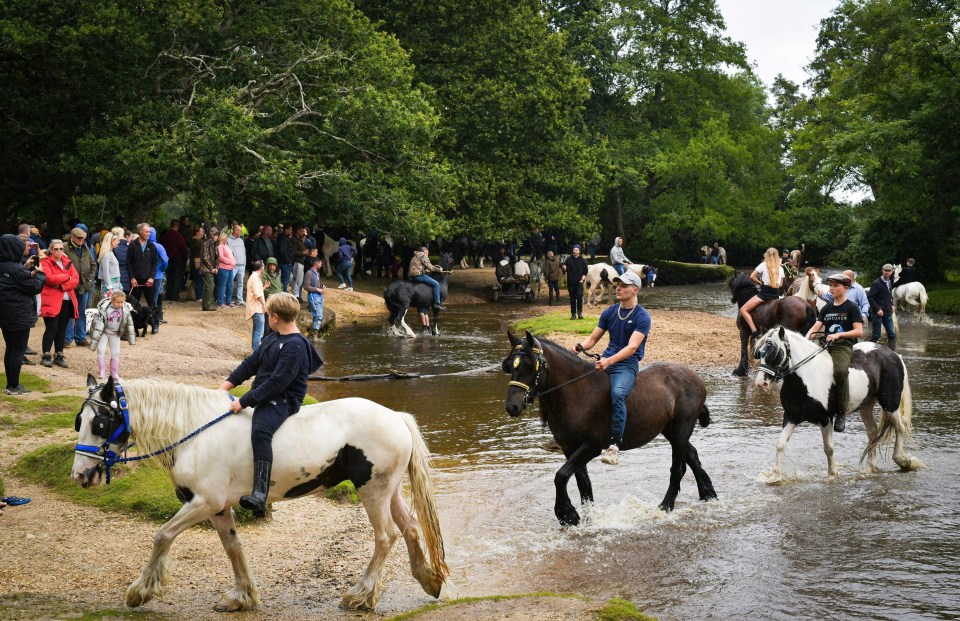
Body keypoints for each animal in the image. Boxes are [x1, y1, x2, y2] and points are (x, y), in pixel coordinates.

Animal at [71, 376, 454, 612]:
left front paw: (141, 591)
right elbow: (233, 547)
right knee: (410, 529)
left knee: (386, 536)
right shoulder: (217, 508)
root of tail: (395, 416)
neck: (195, 433)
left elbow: (162, 536)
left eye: (100, 423)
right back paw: (429, 580)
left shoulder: (203, 502)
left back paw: (360, 596)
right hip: (388, 490)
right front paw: (242, 596)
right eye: (79, 421)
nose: (79, 475)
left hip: (373, 490)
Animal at [502, 332, 712, 524]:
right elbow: (582, 483)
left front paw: (566, 514)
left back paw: (666, 506)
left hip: (680, 429)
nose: (512, 406)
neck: (575, 392)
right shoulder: (570, 448)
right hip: (671, 430)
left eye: (530, 366)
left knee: (677, 469)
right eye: (510, 365)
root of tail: (694, 377)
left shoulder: (591, 447)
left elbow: (561, 476)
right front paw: (588, 518)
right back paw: (708, 494)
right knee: (692, 455)